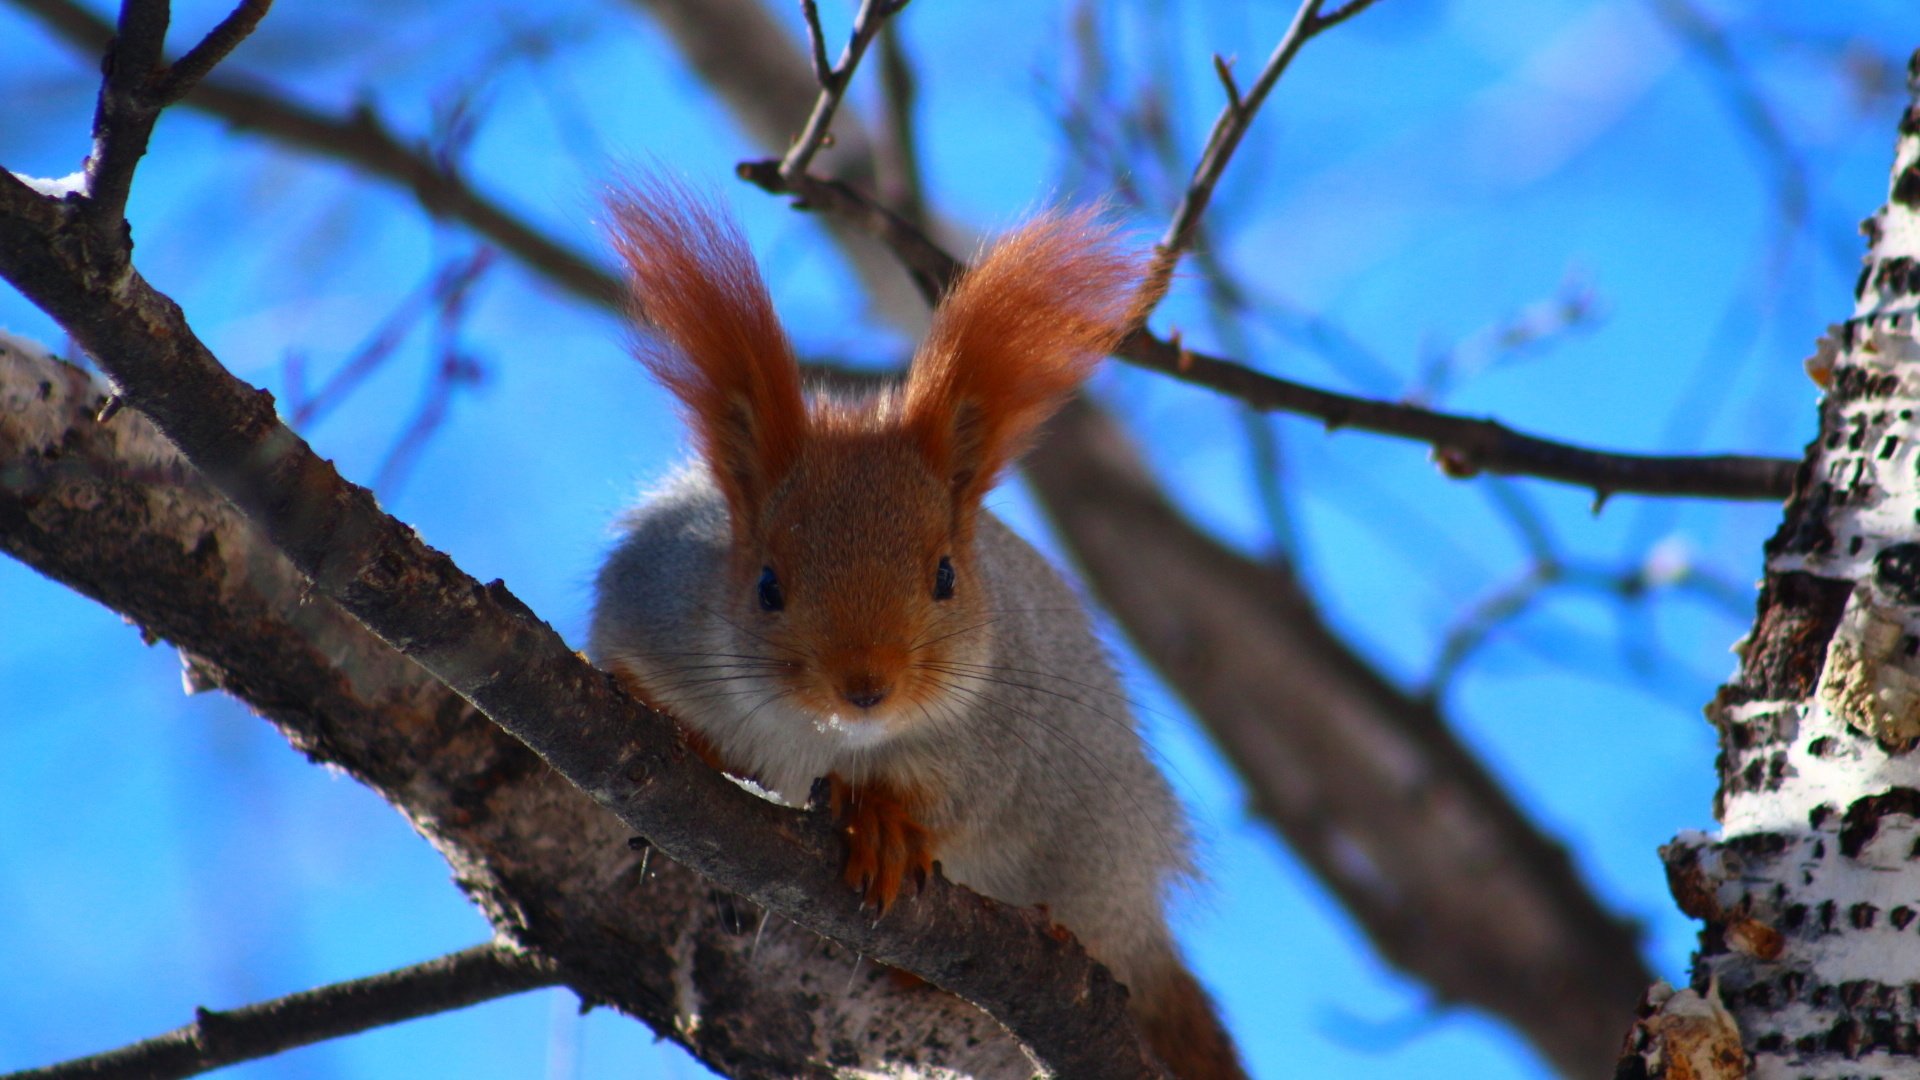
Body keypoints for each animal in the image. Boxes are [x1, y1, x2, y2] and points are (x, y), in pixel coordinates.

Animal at [587, 178, 1244, 1076]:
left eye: (945, 576)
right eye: (766, 586)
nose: (866, 687)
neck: (819, 738)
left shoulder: (998, 736)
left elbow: (956, 797)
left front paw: (885, 822)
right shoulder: (651, 598)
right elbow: (622, 666)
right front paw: (677, 732)